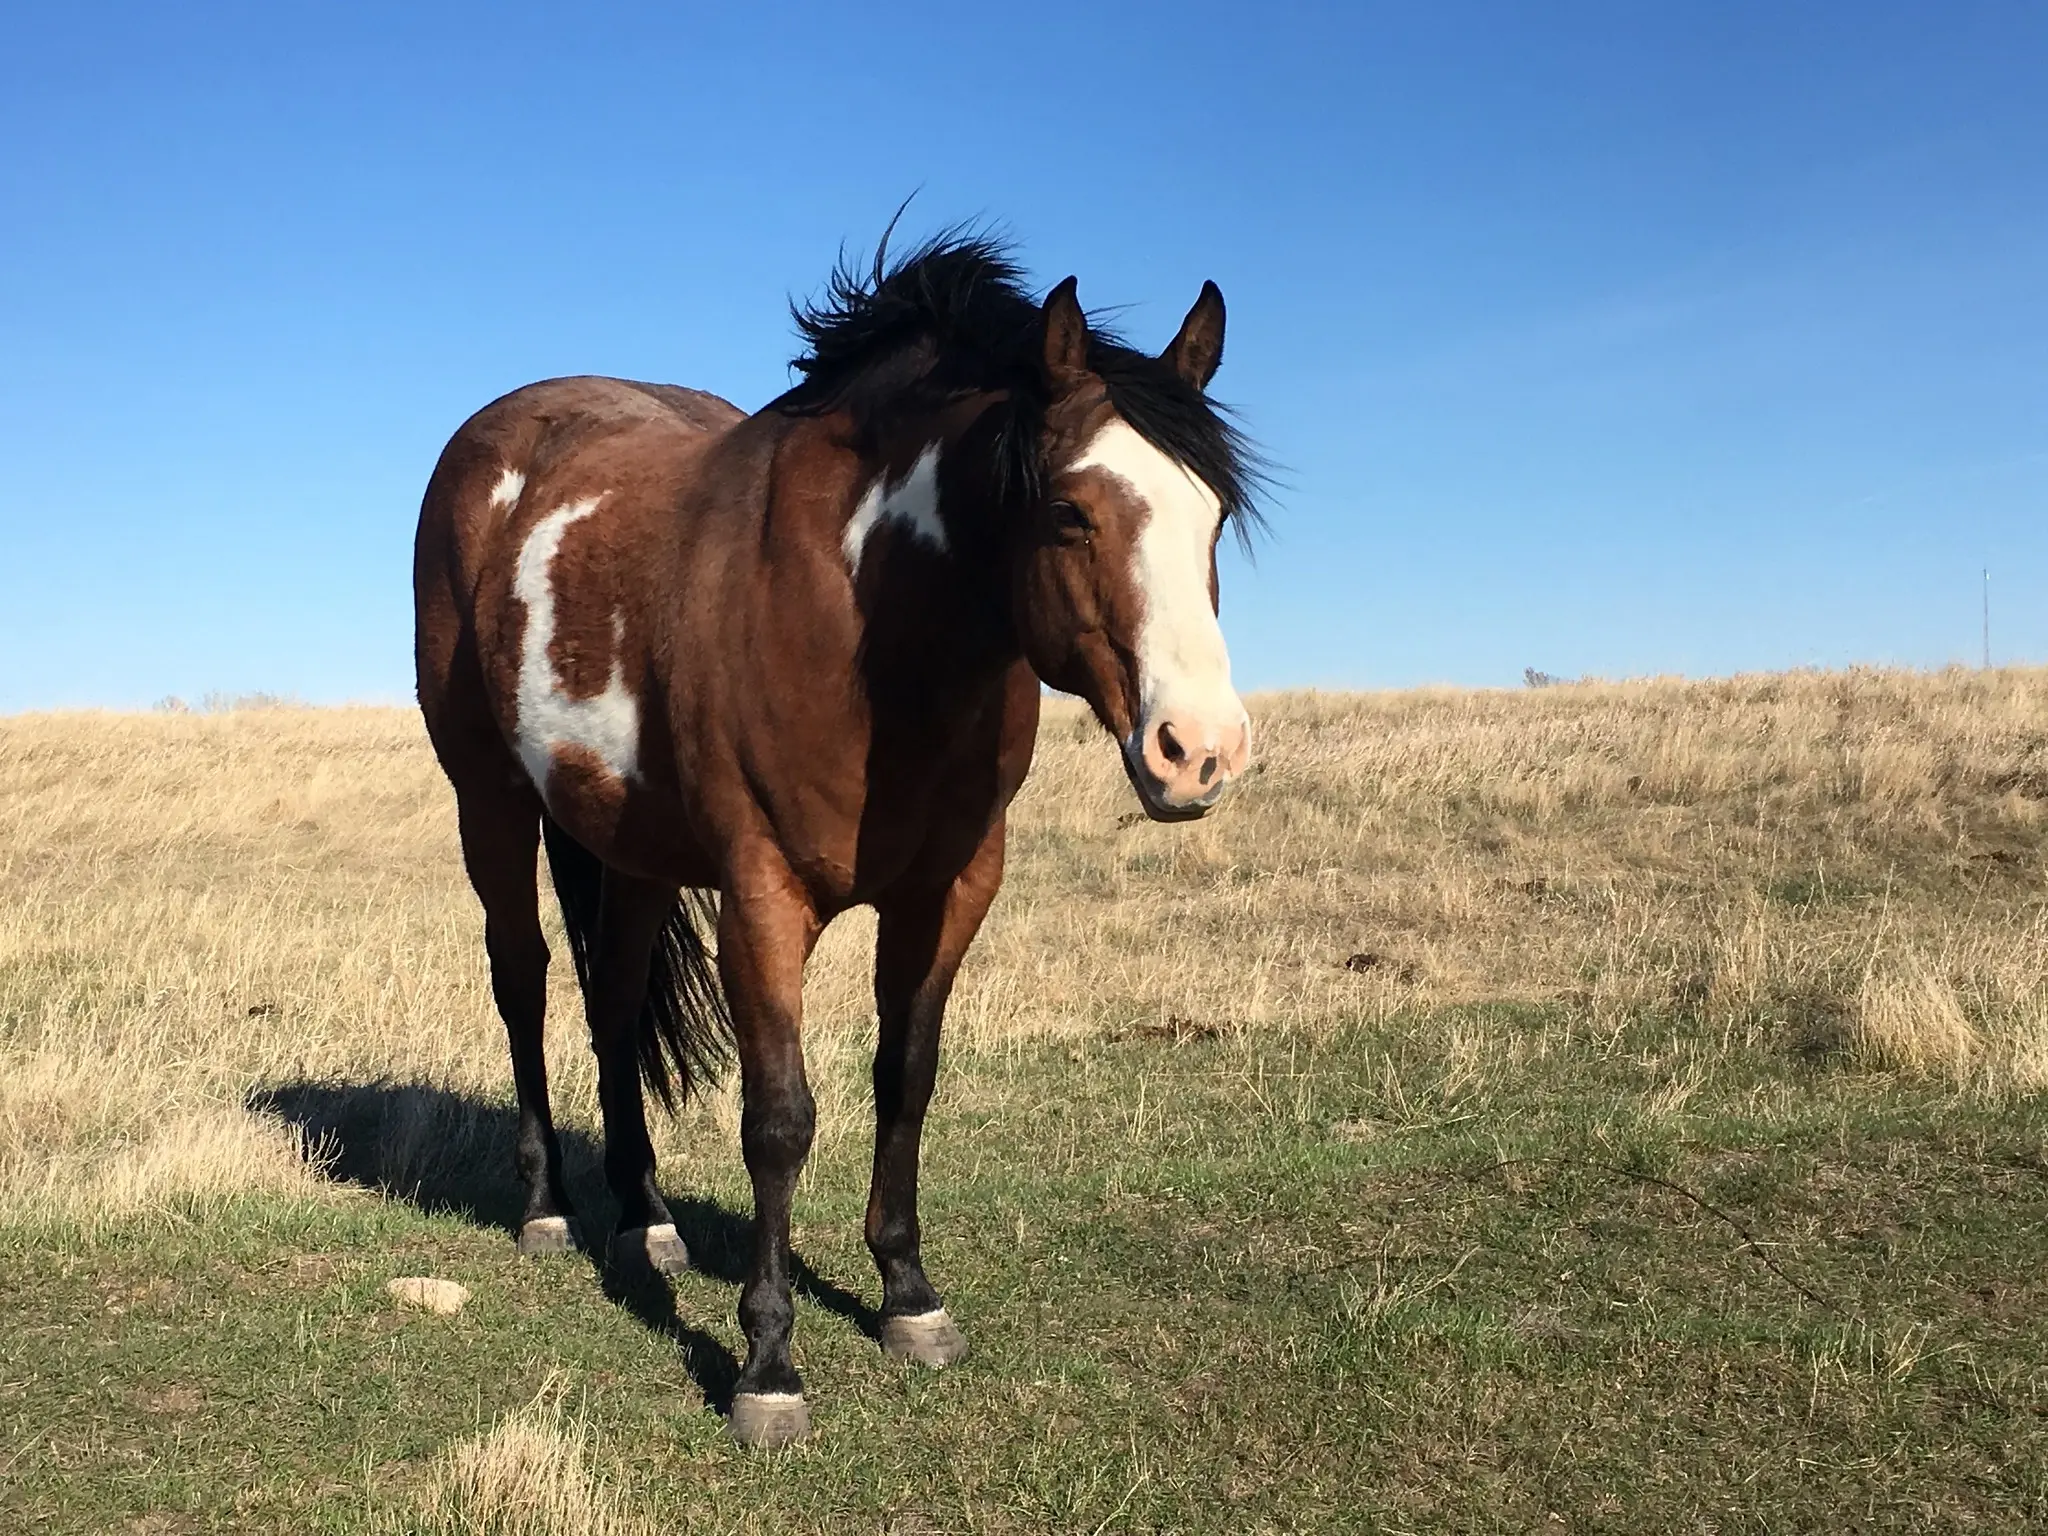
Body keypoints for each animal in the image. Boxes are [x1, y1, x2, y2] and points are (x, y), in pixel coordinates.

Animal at [411, 234, 1261, 1449]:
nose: (1200, 751)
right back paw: (547, 1208)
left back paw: (645, 1217)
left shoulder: (951, 888)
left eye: (1215, 514)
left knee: (612, 1002)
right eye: (1068, 511)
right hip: (488, 798)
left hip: (631, 846)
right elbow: (779, 1119)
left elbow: (905, 1078)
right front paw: (768, 1365)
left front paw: (908, 1297)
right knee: (522, 979)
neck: (865, 628)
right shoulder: (762, 896)